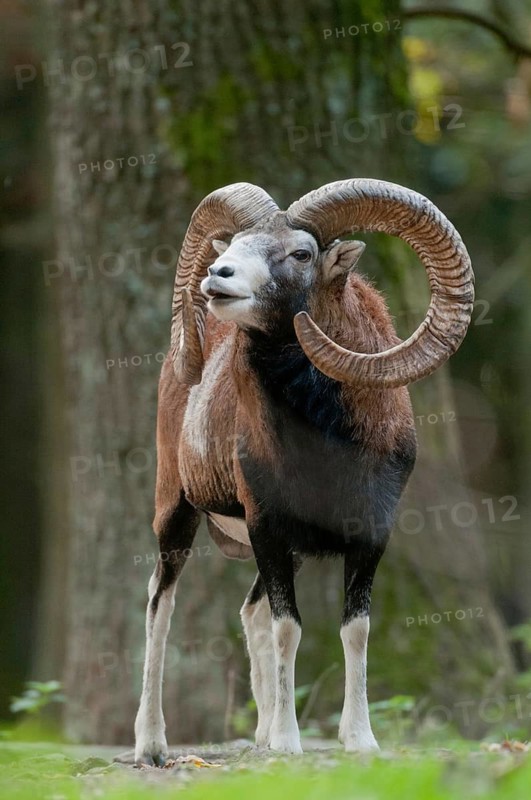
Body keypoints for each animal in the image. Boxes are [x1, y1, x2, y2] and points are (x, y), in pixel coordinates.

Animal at [134, 178, 474, 764]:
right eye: (234, 244)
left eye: (301, 254)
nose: (217, 275)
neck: (325, 443)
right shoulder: (268, 527)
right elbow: (288, 630)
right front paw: (288, 745)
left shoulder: (369, 536)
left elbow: (354, 630)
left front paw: (358, 740)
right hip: (176, 514)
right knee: (162, 602)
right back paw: (151, 747)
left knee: (248, 613)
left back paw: (259, 732)